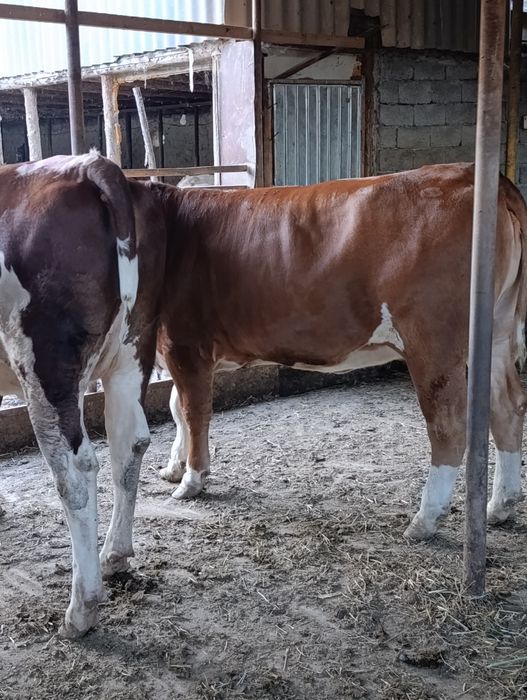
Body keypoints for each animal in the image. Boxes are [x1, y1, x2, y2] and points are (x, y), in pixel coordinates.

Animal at [0, 152, 165, 637]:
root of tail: (87, 164)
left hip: (45, 363)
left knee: (75, 469)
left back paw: (81, 609)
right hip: (133, 346)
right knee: (130, 443)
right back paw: (115, 554)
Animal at [149, 163, 527, 540]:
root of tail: (469, 172)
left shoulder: (184, 346)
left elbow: (193, 412)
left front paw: (191, 480)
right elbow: (176, 407)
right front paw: (173, 466)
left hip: (434, 340)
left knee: (448, 423)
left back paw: (425, 519)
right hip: (495, 332)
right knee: (507, 407)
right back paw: (500, 505)